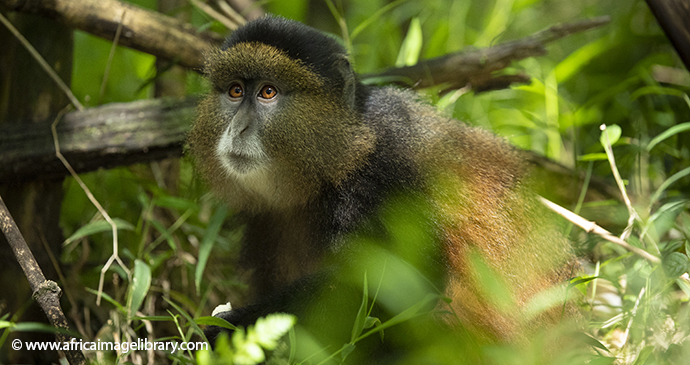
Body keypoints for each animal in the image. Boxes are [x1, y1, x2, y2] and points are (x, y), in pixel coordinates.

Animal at [187, 14, 576, 358]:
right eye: (235, 91)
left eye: (268, 92)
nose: (238, 129)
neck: (339, 158)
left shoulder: (385, 176)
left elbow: (403, 289)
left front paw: (227, 328)